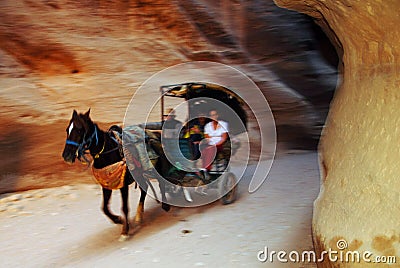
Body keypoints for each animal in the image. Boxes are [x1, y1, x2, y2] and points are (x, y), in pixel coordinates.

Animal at [61, 110, 171, 240]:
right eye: (67, 129)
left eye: (79, 130)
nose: (66, 156)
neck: (107, 152)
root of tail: (157, 135)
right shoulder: (106, 184)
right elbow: (104, 208)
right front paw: (118, 220)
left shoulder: (123, 185)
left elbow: (124, 207)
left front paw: (125, 231)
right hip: (140, 175)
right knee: (145, 188)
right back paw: (139, 215)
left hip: (157, 169)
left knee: (162, 183)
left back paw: (165, 205)